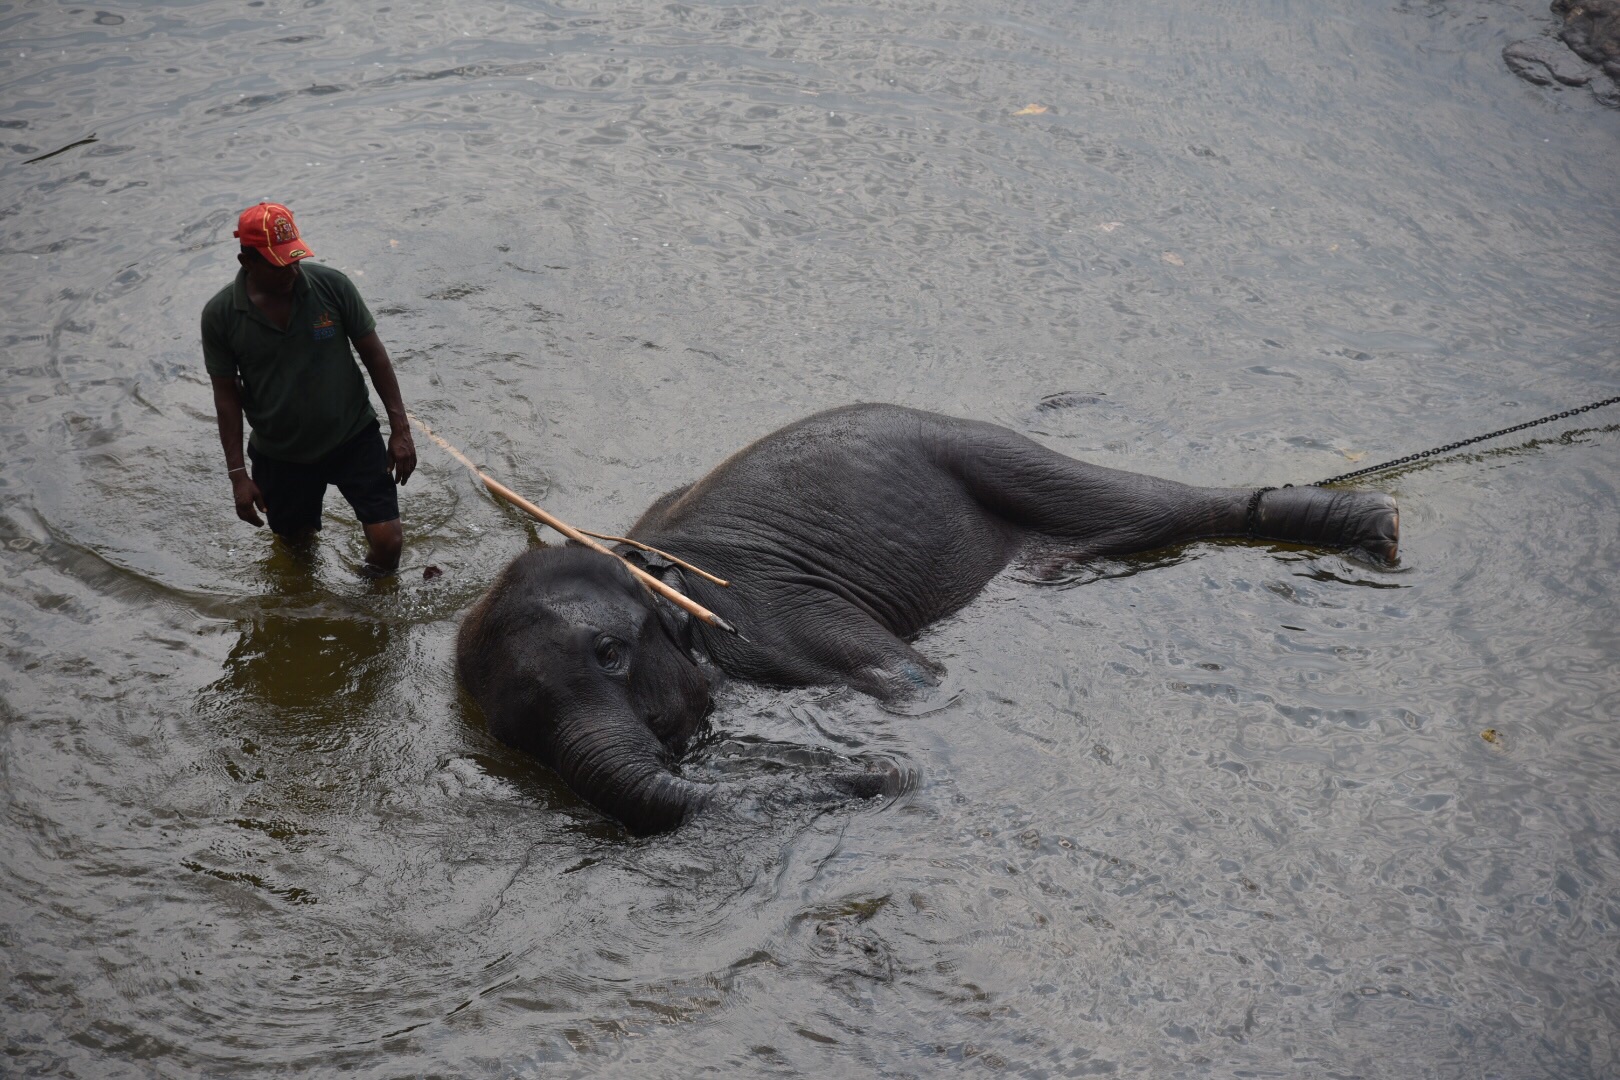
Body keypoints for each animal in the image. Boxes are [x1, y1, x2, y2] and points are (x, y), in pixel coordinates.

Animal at [453, 404, 1393, 835]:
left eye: (611, 653)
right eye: (514, 737)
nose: (887, 774)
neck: (660, 574)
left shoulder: (784, 616)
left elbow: (918, 683)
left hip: (982, 449)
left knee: (1147, 504)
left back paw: (1371, 526)